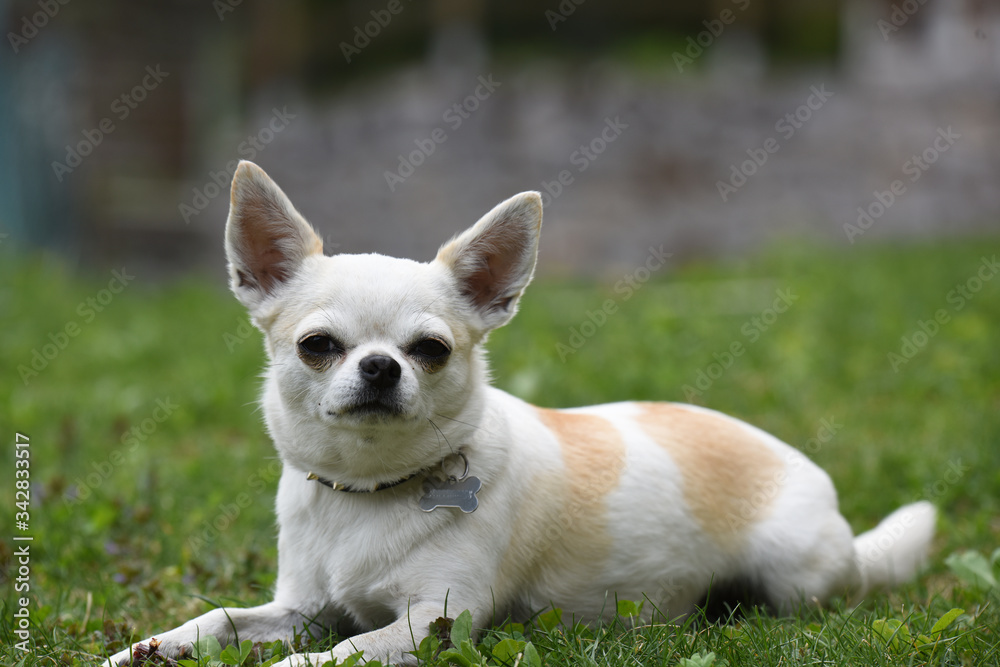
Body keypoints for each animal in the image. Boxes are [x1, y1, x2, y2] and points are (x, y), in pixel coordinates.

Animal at [107, 162, 936, 667]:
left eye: (430, 349)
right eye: (318, 345)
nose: (379, 366)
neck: (369, 492)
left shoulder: (432, 620)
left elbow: (336, 654)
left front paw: (296, 663)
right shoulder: (303, 605)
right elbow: (222, 618)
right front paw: (150, 647)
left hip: (797, 573)